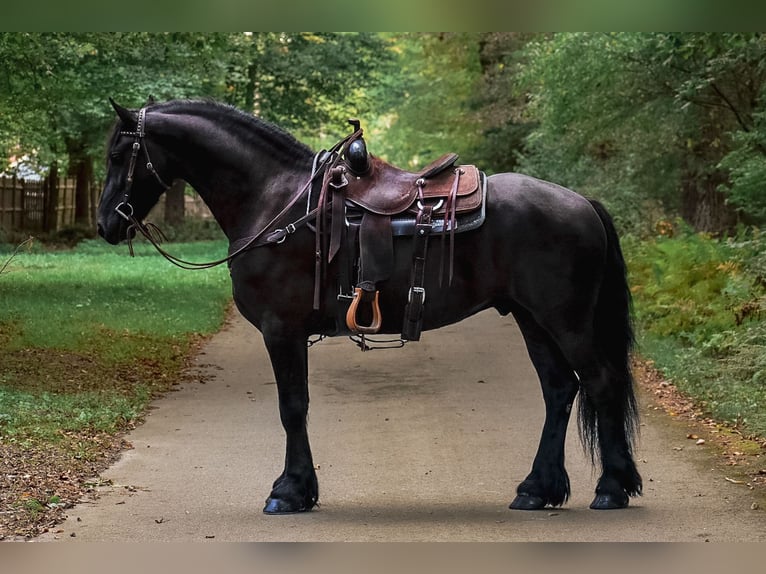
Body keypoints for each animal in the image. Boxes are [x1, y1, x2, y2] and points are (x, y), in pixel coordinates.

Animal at [97, 98, 642, 515]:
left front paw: (289, 492)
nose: (105, 224)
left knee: (599, 382)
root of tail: (582, 202)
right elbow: (296, 407)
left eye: (121, 152)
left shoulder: (281, 329)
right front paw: (301, 489)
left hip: (565, 320)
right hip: (532, 319)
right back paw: (537, 489)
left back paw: (612, 488)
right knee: (559, 390)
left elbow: (292, 407)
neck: (276, 201)